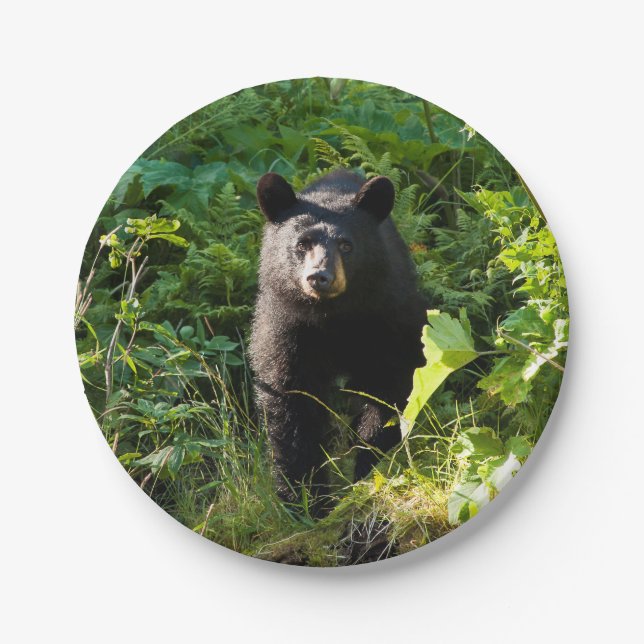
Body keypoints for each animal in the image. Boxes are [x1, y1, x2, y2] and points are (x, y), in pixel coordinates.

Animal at [249, 170, 427, 508]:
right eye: (302, 244)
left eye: (346, 245)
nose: (320, 276)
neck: (334, 317)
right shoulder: (287, 328)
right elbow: (291, 401)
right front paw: (305, 498)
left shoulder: (389, 318)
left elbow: (389, 389)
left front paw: (369, 469)